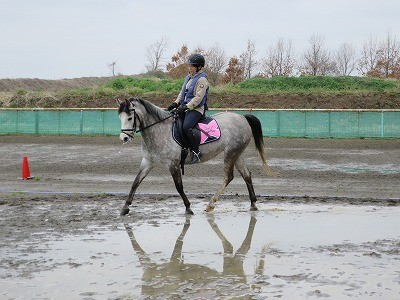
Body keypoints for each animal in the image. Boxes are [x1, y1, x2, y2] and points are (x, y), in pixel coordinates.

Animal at [118, 97, 276, 214]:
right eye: (120, 117)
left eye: (130, 117)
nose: (124, 138)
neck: (159, 131)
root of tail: (242, 118)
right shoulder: (147, 161)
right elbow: (136, 182)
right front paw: (125, 207)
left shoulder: (173, 164)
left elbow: (179, 186)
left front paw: (188, 207)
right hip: (237, 154)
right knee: (247, 175)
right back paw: (253, 203)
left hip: (231, 154)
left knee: (229, 177)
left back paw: (211, 204)